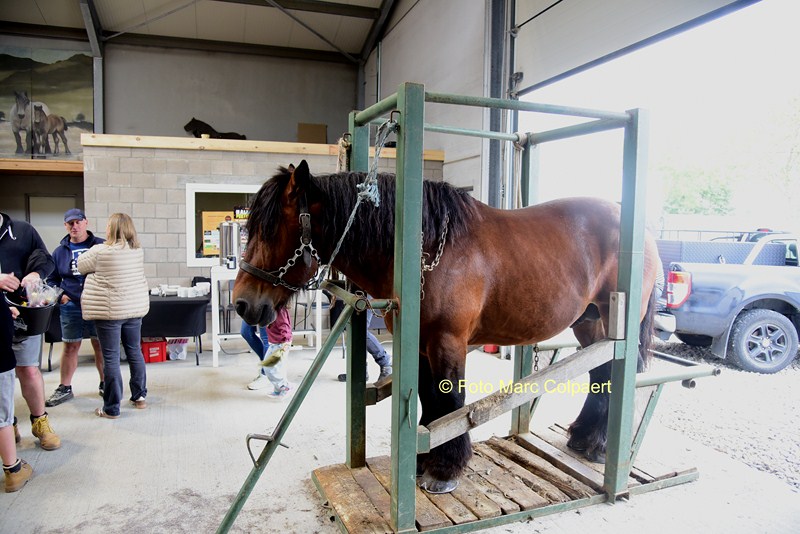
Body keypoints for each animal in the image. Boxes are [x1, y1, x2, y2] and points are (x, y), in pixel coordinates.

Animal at [233, 160, 659, 494]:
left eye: (271, 229)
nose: (242, 303)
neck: (424, 248)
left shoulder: (448, 342)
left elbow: (450, 401)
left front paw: (445, 469)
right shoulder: (421, 343)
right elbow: (429, 401)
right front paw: (423, 460)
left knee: (612, 372)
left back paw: (597, 445)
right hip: (590, 323)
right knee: (600, 374)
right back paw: (586, 438)